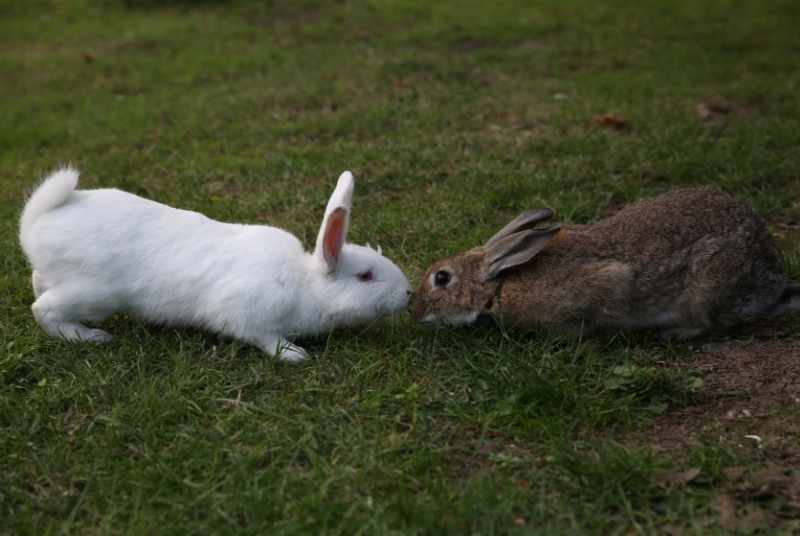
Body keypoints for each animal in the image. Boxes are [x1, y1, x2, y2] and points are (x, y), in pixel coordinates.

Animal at [20, 167, 412, 361]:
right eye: (366, 276)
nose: (409, 294)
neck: (305, 284)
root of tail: (35, 225)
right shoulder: (245, 314)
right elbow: (263, 338)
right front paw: (294, 354)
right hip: (94, 293)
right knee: (43, 309)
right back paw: (90, 337)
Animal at [410, 187, 800, 340]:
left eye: (441, 278)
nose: (415, 311)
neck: (500, 283)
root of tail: (772, 280)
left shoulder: (606, 283)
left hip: (709, 284)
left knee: (709, 322)